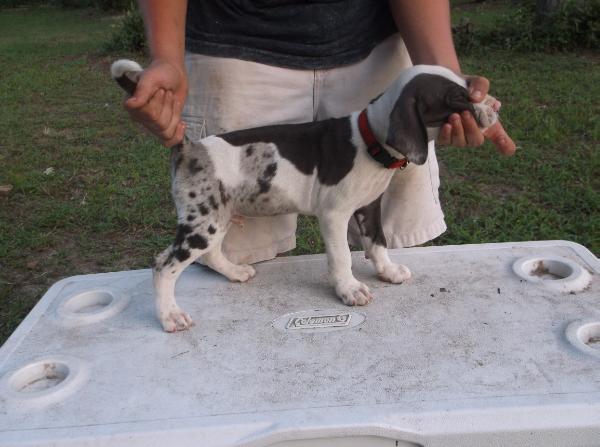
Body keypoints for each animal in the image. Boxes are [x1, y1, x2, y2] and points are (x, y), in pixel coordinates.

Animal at [112, 59, 496, 332]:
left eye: (467, 87)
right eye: (458, 98)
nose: (496, 106)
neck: (369, 139)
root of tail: (190, 146)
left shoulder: (370, 207)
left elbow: (378, 242)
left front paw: (386, 270)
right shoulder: (334, 214)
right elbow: (342, 257)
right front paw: (349, 289)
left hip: (217, 216)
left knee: (211, 254)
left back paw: (234, 273)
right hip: (201, 221)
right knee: (164, 265)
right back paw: (169, 316)